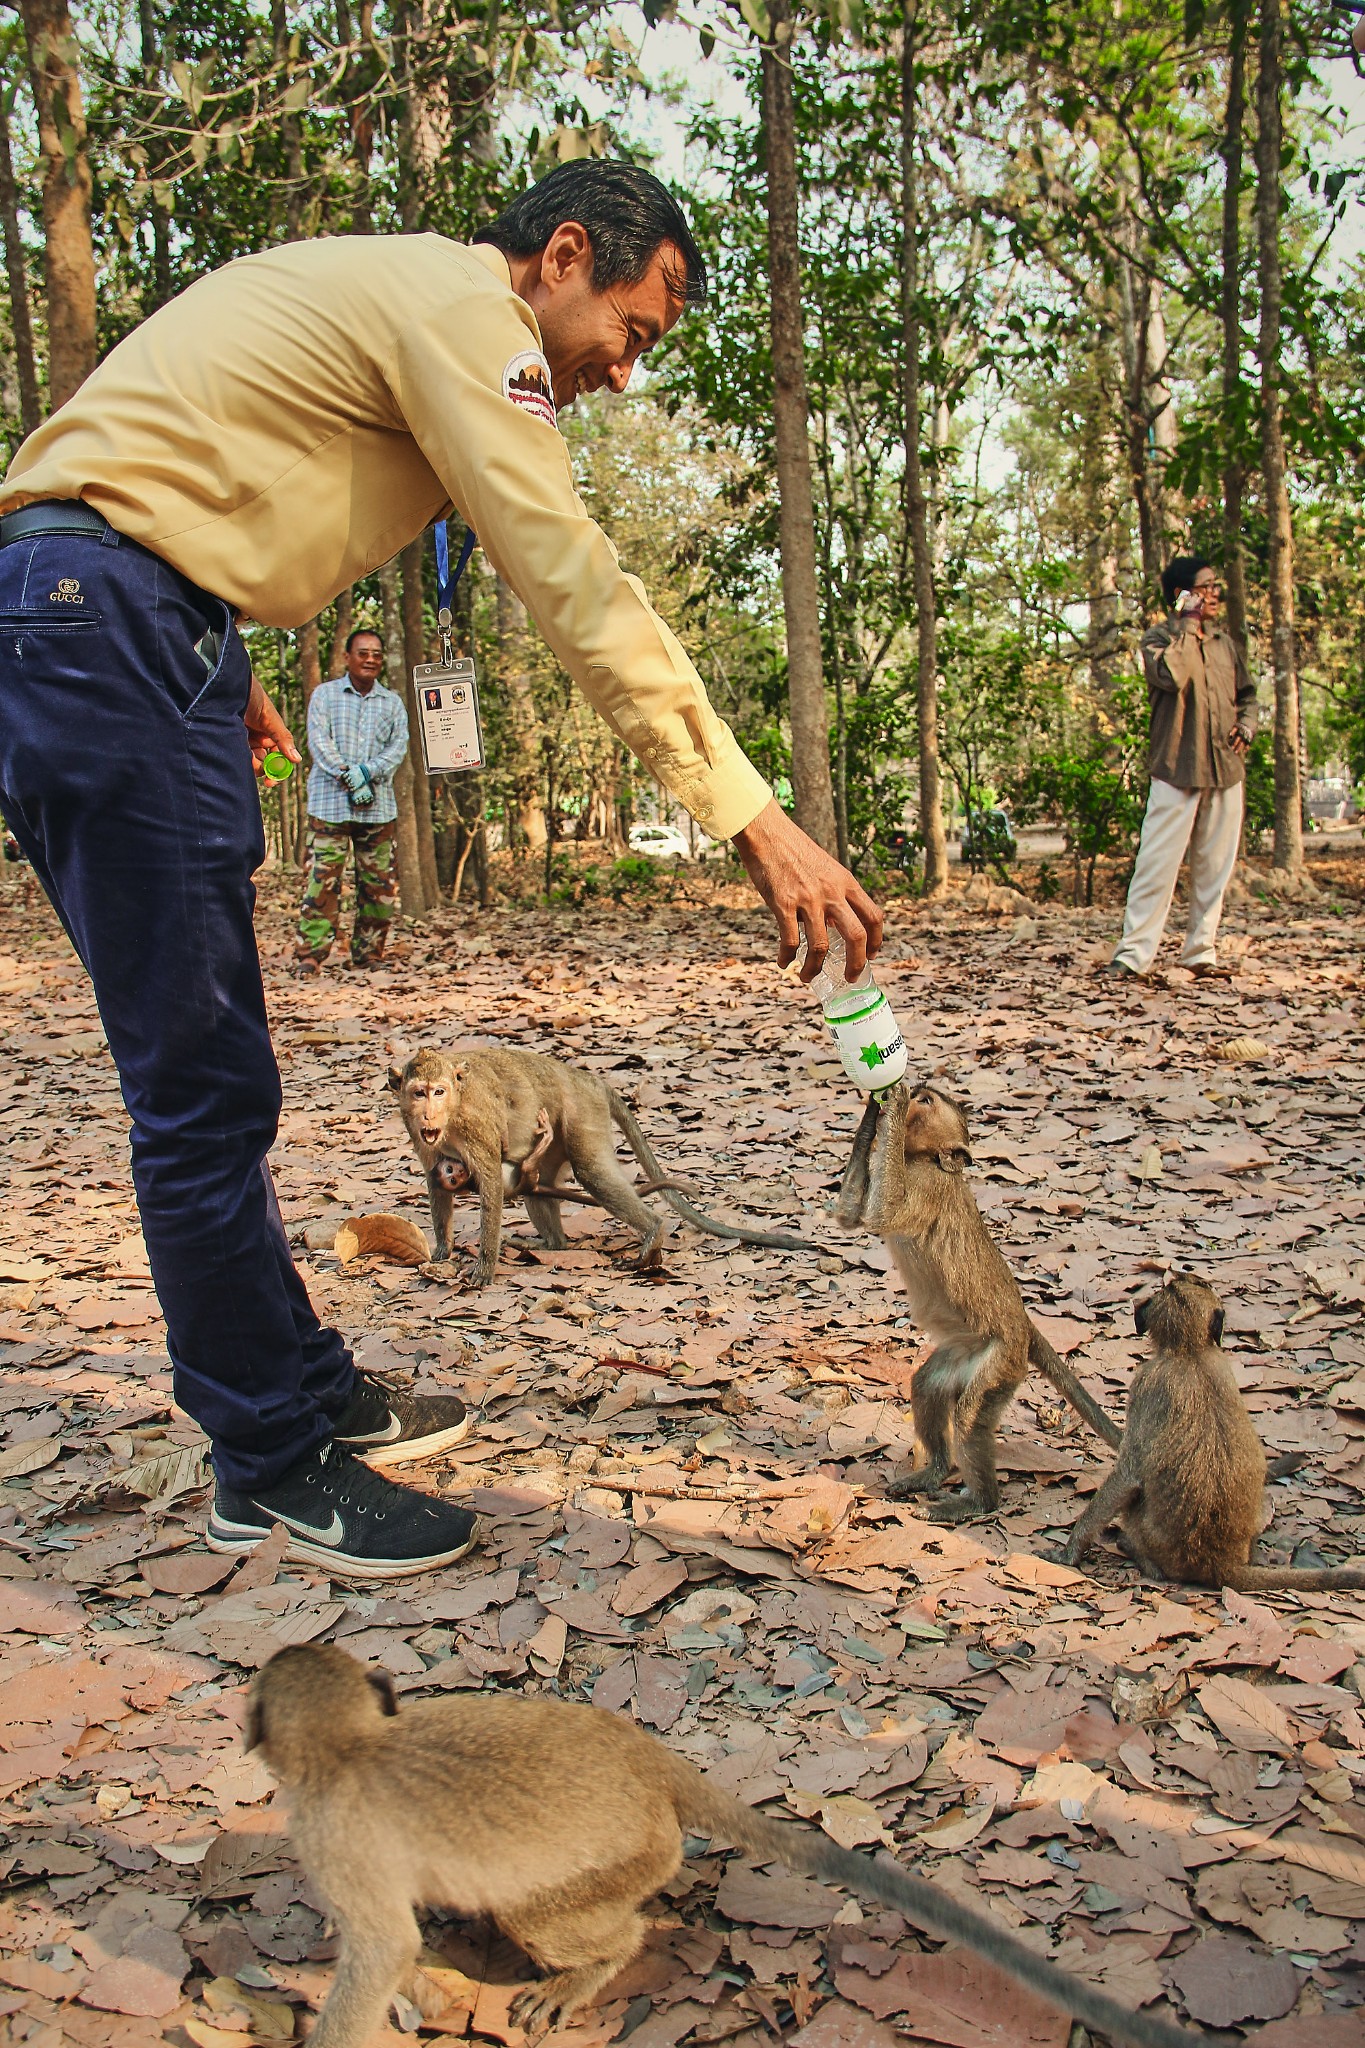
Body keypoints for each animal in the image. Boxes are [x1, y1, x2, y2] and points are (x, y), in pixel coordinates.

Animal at [250, 1646, 1203, 2048]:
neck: (349, 1745)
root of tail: (643, 1755)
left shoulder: (328, 1830)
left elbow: (382, 1949)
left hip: (628, 1861)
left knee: (564, 1918)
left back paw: (595, 1963)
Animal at [388, 1048, 826, 1286]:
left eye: (439, 1091)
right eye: (418, 1093)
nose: (428, 1113)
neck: (452, 1113)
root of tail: (588, 1079)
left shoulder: (474, 1127)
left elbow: (491, 1181)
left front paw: (484, 1266)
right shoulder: (419, 1134)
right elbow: (435, 1182)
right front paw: (442, 1250)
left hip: (582, 1114)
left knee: (591, 1173)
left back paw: (653, 1231)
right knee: (540, 1185)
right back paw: (552, 1244)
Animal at [843, 1089, 1121, 1523]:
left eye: (927, 1102)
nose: (916, 1091)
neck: (922, 1160)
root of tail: (1022, 1322)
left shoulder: (928, 1186)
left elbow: (881, 1215)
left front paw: (894, 1101)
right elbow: (848, 1217)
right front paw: (874, 1111)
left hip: (1001, 1363)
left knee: (970, 1415)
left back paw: (979, 1501)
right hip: (964, 1355)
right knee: (927, 1387)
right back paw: (936, 1471)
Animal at [1064, 1269, 1365, 1589]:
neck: (1190, 1351)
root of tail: (1221, 1564)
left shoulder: (1146, 1382)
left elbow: (1128, 1476)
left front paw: (1070, 1551)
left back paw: (1137, 1553)